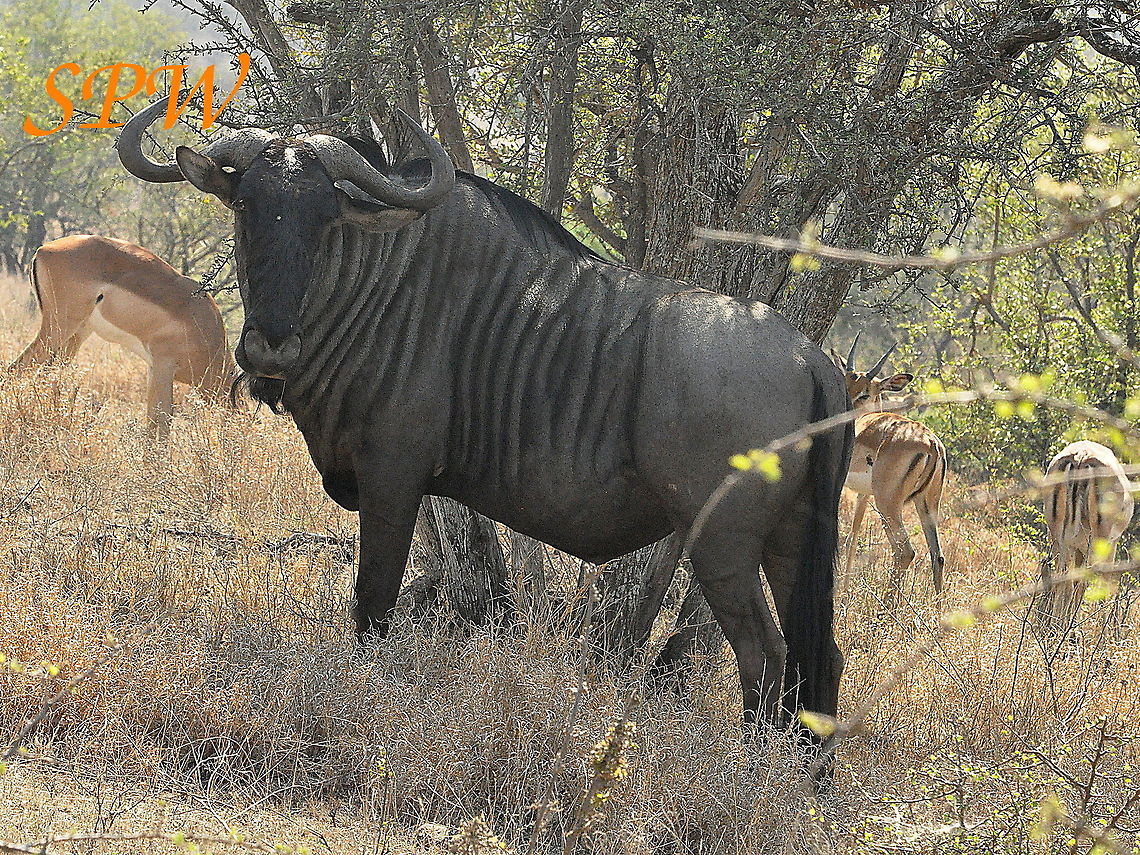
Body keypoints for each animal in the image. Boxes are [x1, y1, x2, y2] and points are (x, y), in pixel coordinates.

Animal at [11, 234, 235, 438]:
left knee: (48, 377)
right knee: (17, 368)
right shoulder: (164, 365)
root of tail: (43, 250)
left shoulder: (153, 368)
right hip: (59, 328)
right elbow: (161, 421)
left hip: (77, 334)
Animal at [837, 336, 947, 595]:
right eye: (845, 383)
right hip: (926, 504)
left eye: (865, 393)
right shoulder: (863, 494)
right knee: (937, 555)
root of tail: (932, 445)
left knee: (905, 551)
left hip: (888, 504)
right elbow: (852, 537)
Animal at [1041, 440, 1134, 627]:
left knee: (1064, 580)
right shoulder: (1111, 545)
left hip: (1059, 540)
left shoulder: (1077, 549)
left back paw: (1058, 627)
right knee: (1082, 582)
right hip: (1096, 541)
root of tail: (1081, 457)